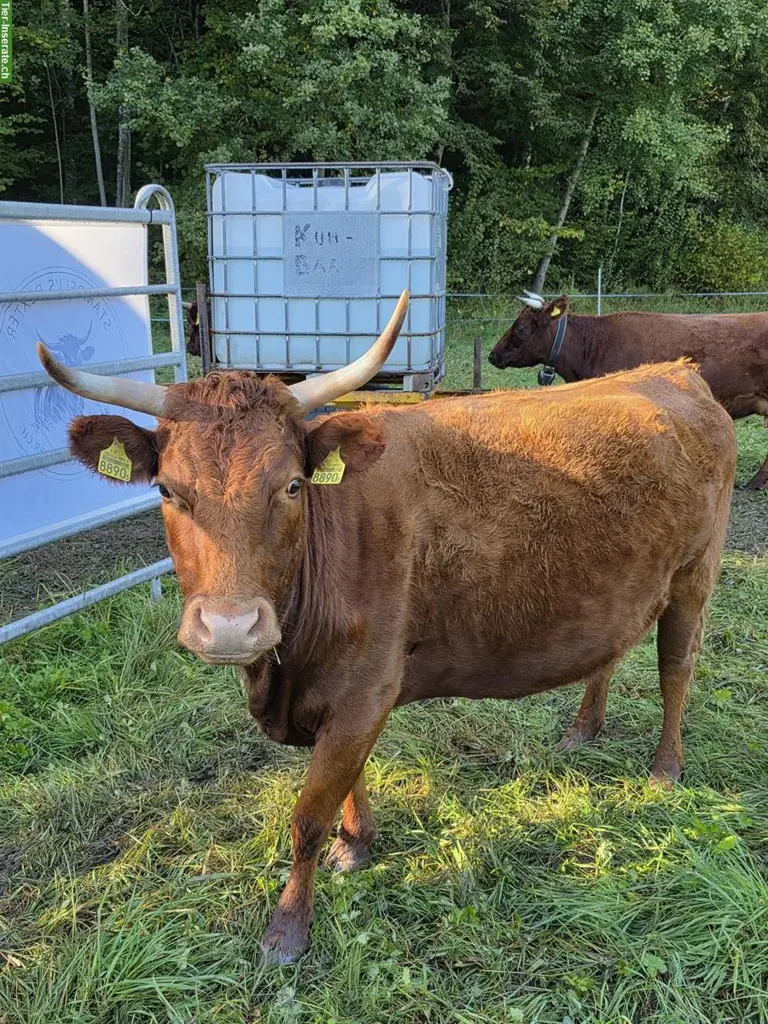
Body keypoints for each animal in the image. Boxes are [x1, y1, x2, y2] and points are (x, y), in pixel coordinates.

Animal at [37, 291, 736, 965]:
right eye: (166, 491)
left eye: (293, 485)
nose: (231, 627)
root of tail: (674, 372)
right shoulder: (339, 697)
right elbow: (348, 781)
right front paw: (358, 842)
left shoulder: (366, 688)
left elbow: (308, 815)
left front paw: (288, 929)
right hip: (619, 586)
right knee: (609, 653)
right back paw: (583, 730)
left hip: (694, 575)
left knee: (676, 669)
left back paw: (664, 769)